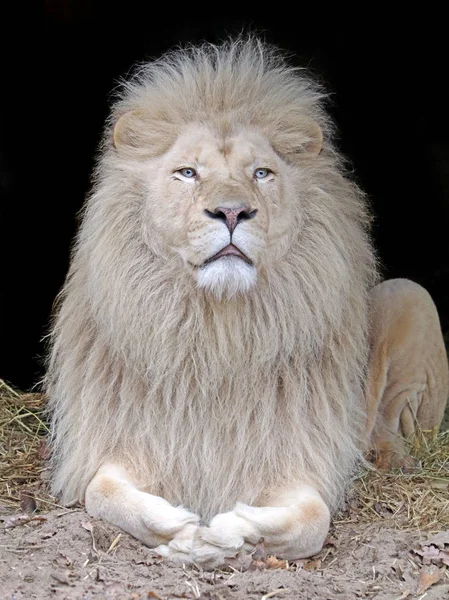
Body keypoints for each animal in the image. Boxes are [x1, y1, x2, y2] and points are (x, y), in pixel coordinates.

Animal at [43, 37, 446, 568]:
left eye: (262, 173)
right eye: (187, 173)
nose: (232, 211)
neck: (220, 333)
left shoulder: (303, 456)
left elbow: (312, 520)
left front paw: (234, 533)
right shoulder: (115, 438)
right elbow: (102, 491)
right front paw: (181, 532)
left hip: (412, 295)